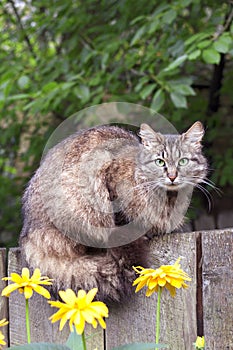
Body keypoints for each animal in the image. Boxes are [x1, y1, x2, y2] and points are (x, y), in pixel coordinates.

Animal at [19, 121, 207, 302]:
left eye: (183, 161)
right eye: (160, 162)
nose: (172, 176)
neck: (168, 199)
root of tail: (28, 232)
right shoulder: (111, 182)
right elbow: (123, 220)